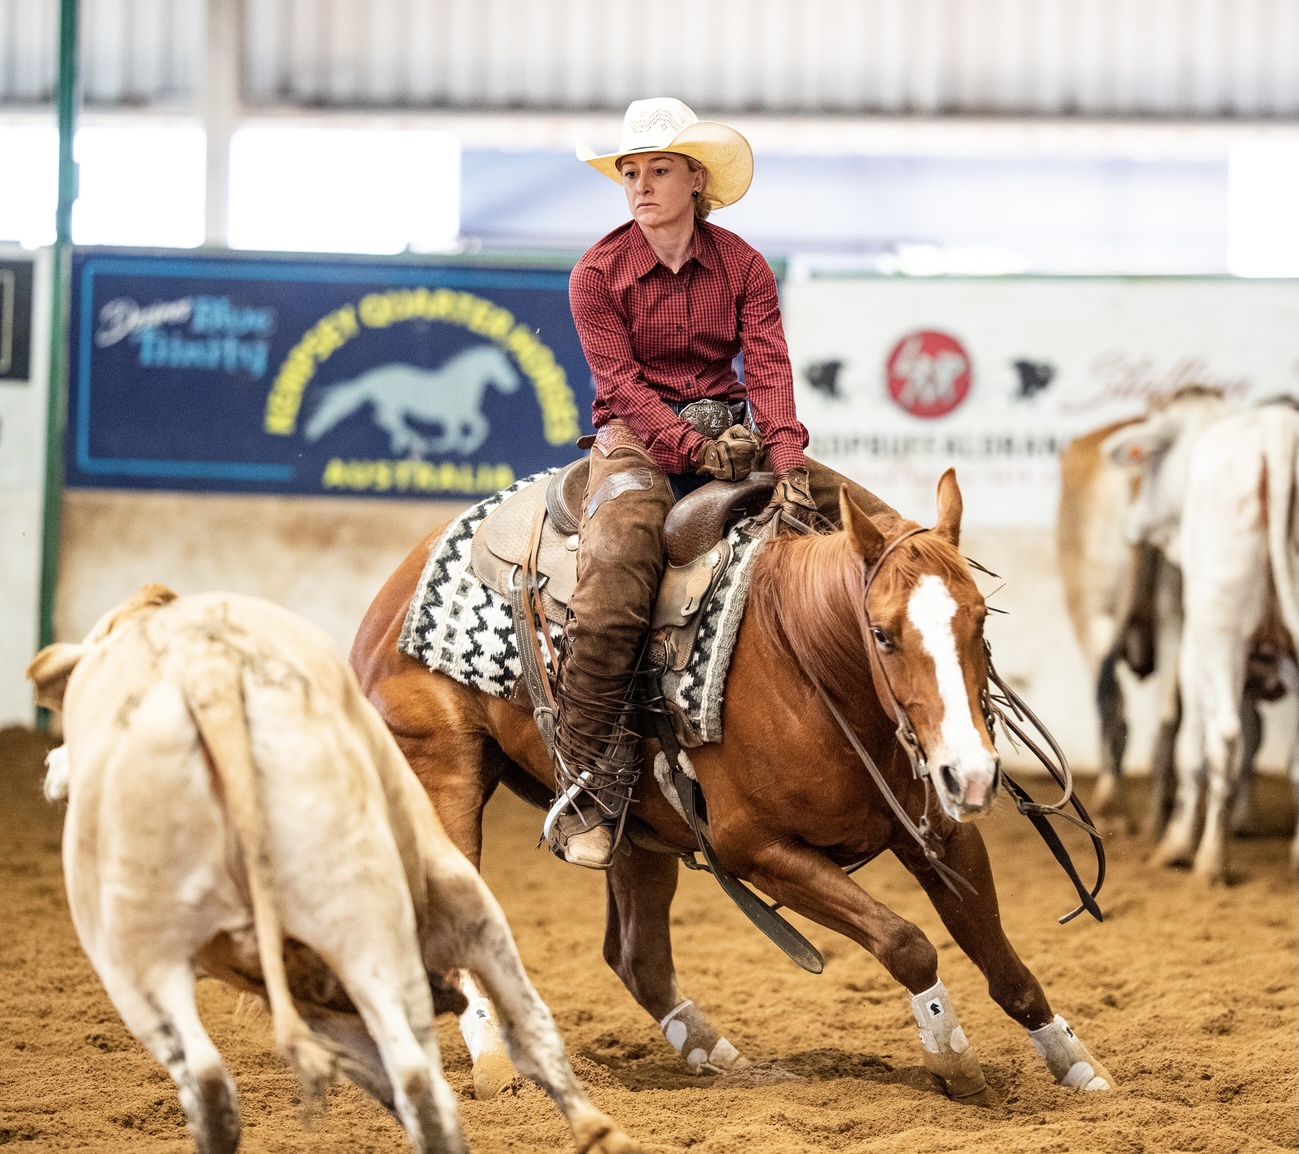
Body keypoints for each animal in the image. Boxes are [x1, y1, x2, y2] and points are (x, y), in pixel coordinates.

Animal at [351, 468, 1114, 1103]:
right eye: (883, 633)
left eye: (979, 618)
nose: (973, 772)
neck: (805, 662)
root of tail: (391, 591)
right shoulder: (756, 850)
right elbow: (907, 943)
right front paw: (952, 1060)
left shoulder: (940, 833)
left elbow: (1002, 962)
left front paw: (1076, 1067)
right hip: (443, 772)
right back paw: (498, 1068)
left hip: (638, 836)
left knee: (637, 957)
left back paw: (727, 1061)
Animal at [1106, 401, 1299, 880]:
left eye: (1146, 467)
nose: (1131, 525)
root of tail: (1278, 426)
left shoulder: (1194, 652)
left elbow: (1192, 746)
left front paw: (1177, 844)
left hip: (1219, 630)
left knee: (1224, 737)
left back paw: (1211, 860)